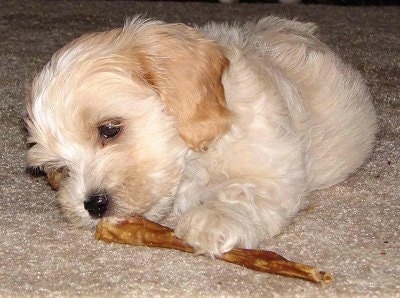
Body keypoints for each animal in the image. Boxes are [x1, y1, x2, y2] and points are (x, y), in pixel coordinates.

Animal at [25, 16, 378, 255]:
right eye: (61, 168)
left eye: (109, 129)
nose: (93, 206)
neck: (192, 161)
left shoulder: (274, 167)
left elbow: (246, 189)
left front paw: (212, 219)